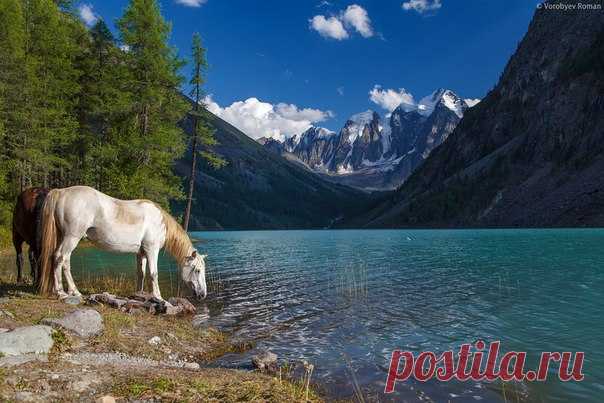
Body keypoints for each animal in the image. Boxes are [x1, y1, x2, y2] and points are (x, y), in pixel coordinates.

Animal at [38, 186, 208, 300]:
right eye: (198, 270)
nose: (203, 295)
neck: (159, 222)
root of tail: (62, 192)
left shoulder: (141, 253)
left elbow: (141, 274)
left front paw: (139, 295)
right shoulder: (151, 250)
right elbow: (153, 274)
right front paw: (158, 297)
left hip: (65, 237)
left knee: (64, 260)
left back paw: (70, 291)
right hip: (72, 237)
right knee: (60, 258)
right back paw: (62, 292)